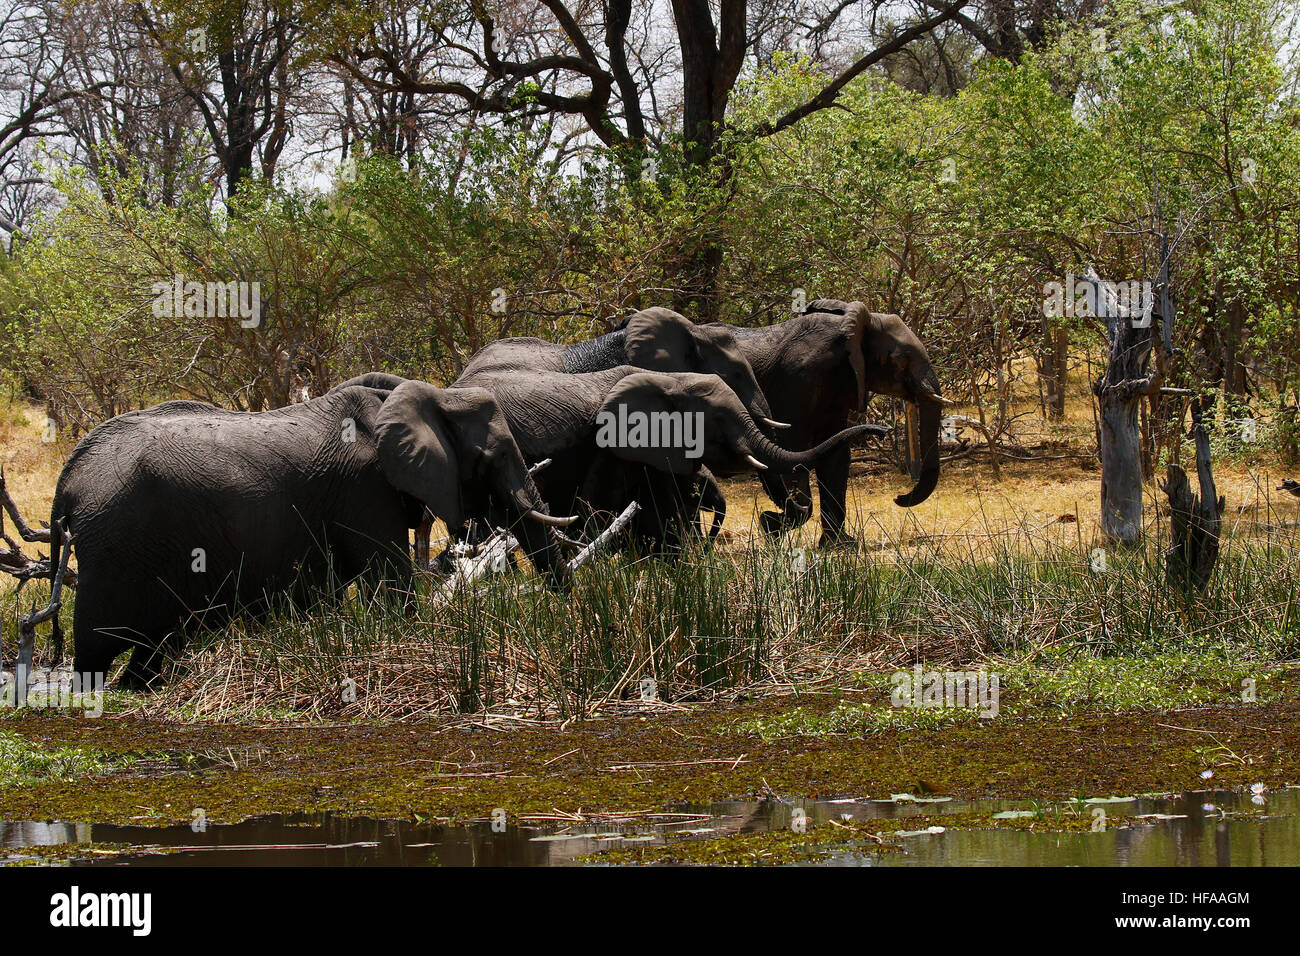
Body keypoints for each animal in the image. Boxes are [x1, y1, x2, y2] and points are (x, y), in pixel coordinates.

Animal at [50, 379, 572, 686]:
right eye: (494, 457)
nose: (564, 613)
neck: (422, 396)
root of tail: (69, 477)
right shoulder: (365, 490)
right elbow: (390, 584)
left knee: (153, 651)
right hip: (117, 547)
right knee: (97, 649)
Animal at [722, 297, 946, 546]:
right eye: (899, 361)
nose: (899, 497)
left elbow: (835, 452)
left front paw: (839, 545)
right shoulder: (797, 378)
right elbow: (790, 447)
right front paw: (770, 526)